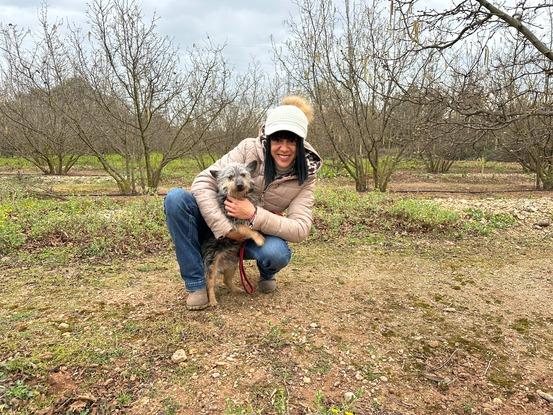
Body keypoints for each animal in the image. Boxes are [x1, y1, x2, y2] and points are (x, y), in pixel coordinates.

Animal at [202, 161, 264, 308]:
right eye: (230, 177)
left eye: (243, 175)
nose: (240, 185)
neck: (239, 197)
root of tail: (222, 264)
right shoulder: (233, 223)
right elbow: (247, 229)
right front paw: (259, 239)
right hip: (212, 265)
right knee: (210, 284)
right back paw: (212, 301)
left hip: (233, 265)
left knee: (226, 280)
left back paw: (237, 289)